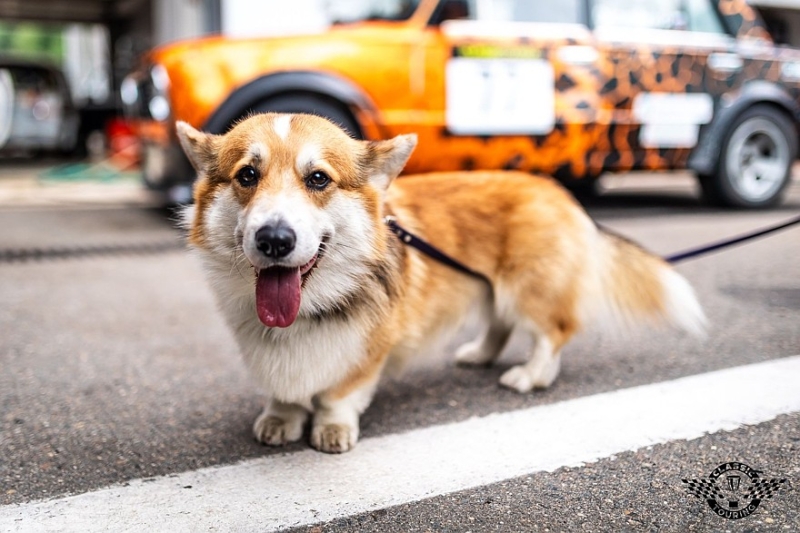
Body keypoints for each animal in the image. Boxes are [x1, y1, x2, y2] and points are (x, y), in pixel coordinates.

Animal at [177, 113, 708, 454]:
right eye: (248, 174)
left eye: (319, 179)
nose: (274, 239)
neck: (311, 307)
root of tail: (558, 192)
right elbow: (284, 392)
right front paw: (281, 419)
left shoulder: (369, 352)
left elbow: (338, 394)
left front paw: (331, 429)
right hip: (489, 287)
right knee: (500, 325)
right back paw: (479, 355)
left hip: (527, 289)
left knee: (552, 333)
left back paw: (530, 376)